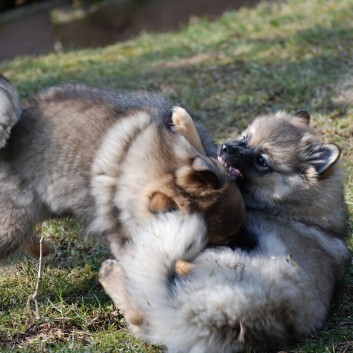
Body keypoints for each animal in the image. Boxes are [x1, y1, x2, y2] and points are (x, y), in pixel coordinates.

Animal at [99, 111, 350, 352]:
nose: (225, 147)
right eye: (245, 137)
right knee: (142, 314)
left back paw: (113, 267)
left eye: (261, 160)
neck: (294, 210)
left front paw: (183, 121)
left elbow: (202, 158)